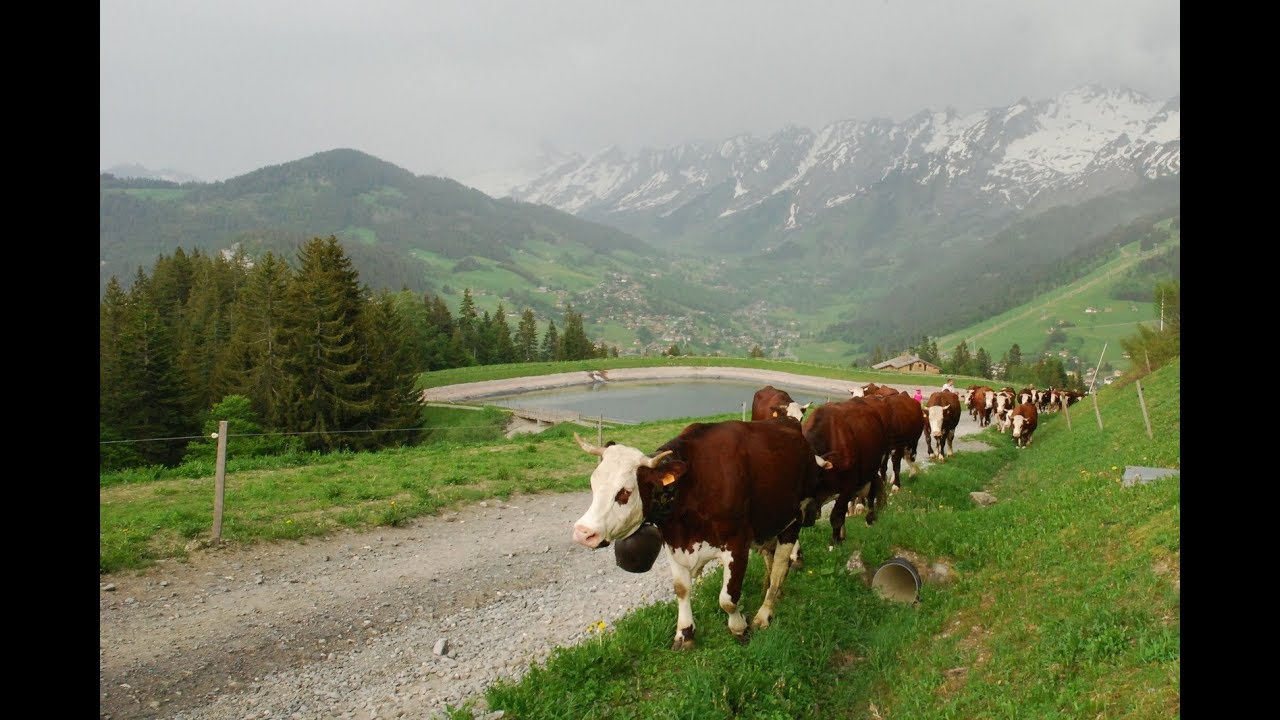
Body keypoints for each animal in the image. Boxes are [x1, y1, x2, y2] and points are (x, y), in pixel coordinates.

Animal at [571, 421, 830, 650]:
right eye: (593, 484)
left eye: (624, 492)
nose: (583, 533)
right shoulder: (674, 544)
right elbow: (681, 589)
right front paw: (685, 633)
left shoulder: (737, 545)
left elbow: (727, 599)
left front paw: (740, 628)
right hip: (769, 522)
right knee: (770, 556)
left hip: (794, 519)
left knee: (780, 565)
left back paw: (764, 613)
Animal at [801, 398, 889, 545]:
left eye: (815, 477)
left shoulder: (848, 486)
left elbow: (836, 516)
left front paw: (835, 542)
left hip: (874, 466)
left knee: (873, 492)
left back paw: (871, 516)